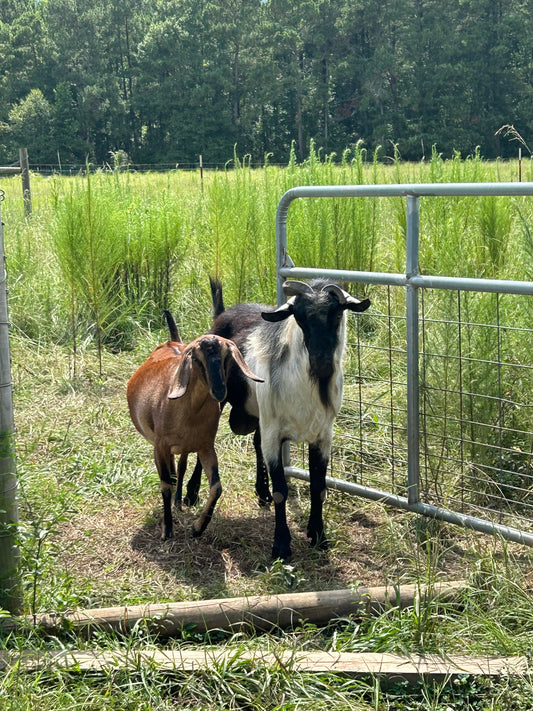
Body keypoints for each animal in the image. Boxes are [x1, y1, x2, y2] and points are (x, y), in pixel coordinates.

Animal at [127, 322, 264, 540]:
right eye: (197, 359)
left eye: (227, 356)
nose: (219, 391)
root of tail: (172, 341)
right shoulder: (160, 446)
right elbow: (165, 485)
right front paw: (167, 529)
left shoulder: (205, 447)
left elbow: (216, 487)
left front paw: (198, 527)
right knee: (172, 474)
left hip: (185, 446)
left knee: (181, 468)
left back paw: (178, 501)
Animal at [196, 278, 370, 560]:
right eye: (299, 317)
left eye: (337, 313)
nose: (321, 363)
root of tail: (222, 313)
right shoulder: (273, 431)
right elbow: (281, 491)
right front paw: (281, 546)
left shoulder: (323, 435)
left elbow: (318, 487)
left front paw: (318, 536)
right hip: (220, 398)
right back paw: (190, 495)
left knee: (255, 444)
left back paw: (261, 492)